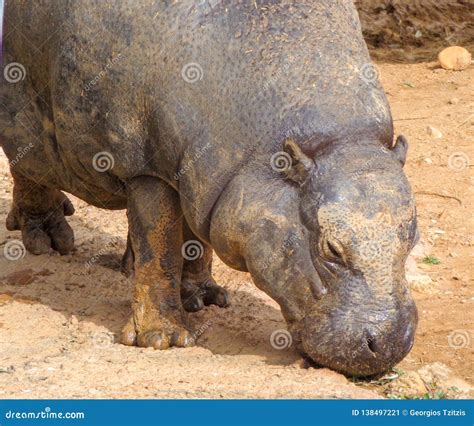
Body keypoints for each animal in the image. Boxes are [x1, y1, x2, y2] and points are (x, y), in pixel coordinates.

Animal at [0, 0, 416, 376]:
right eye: (331, 248)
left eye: (411, 238)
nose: (390, 343)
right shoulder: (148, 169)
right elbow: (160, 245)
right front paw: (163, 339)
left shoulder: (202, 175)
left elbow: (191, 238)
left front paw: (205, 299)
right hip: (24, 109)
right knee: (28, 166)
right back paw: (48, 242)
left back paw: (125, 268)